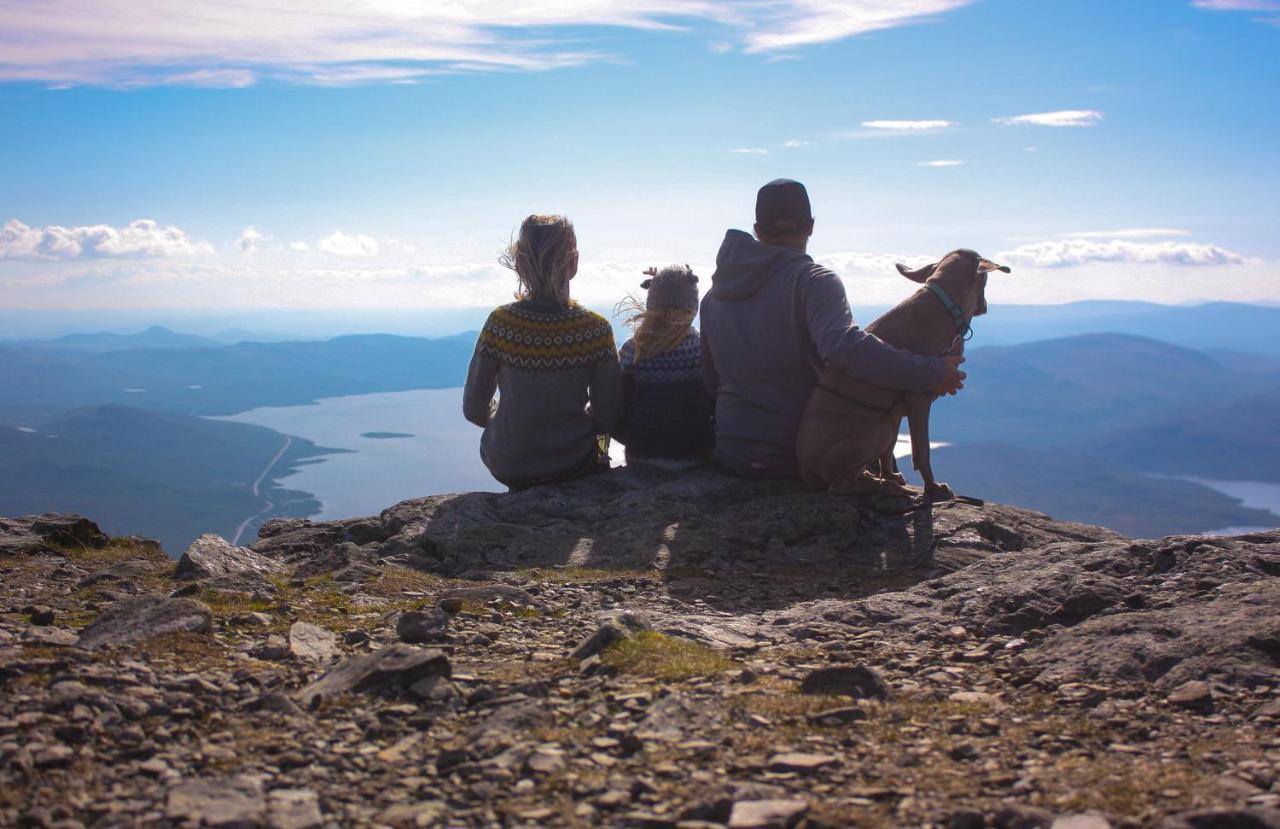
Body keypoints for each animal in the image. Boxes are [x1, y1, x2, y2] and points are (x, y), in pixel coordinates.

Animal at [788, 249, 1008, 498]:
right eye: (985, 280)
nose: (986, 305)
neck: (945, 307)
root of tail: (805, 470)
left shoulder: (896, 412)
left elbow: (890, 451)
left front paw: (890, 475)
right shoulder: (919, 400)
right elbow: (921, 450)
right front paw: (932, 487)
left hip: (885, 420)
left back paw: (877, 479)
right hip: (879, 427)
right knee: (838, 486)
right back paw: (882, 487)